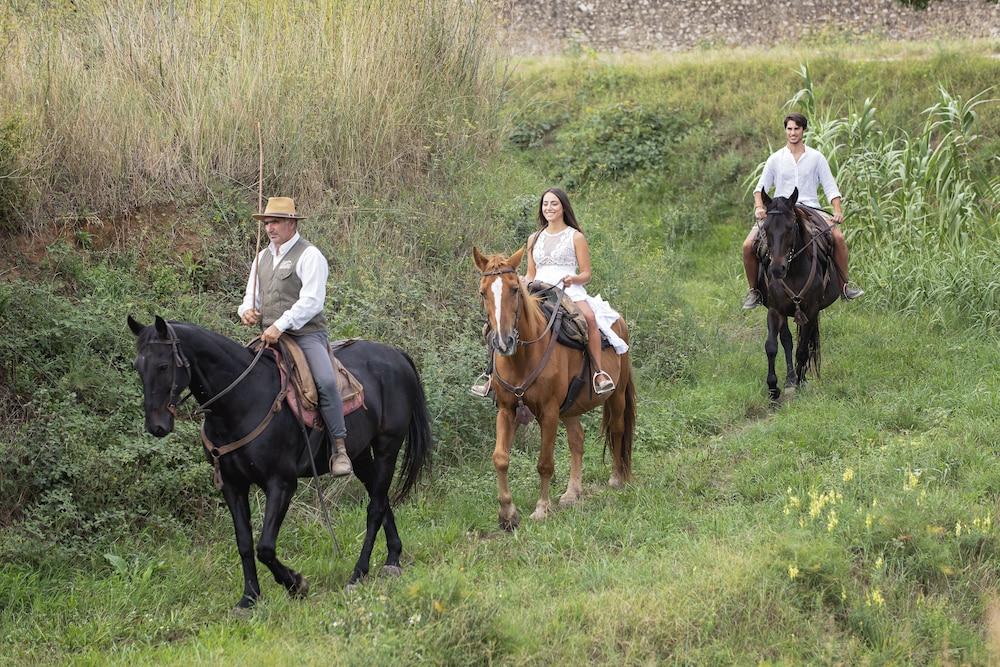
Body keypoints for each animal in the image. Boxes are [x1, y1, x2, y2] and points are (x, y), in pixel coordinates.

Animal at [127, 316, 432, 608]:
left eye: (163, 366)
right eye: (138, 367)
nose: (156, 426)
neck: (242, 400)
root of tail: (395, 354)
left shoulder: (281, 483)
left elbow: (265, 547)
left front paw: (296, 584)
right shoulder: (232, 485)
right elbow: (245, 543)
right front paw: (249, 598)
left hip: (387, 448)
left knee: (375, 508)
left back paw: (358, 573)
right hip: (360, 456)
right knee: (381, 499)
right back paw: (392, 559)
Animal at [472, 247, 636, 532]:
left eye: (514, 289)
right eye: (483, 292)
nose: (504, 342)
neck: (523, 357)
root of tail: (620, 320)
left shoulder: (548, 412)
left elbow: (545, 463)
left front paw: (541, 509)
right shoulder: (507, 409)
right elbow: (500, 458)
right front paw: (507, 514)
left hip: (616, 394)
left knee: (616, 429)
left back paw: (616, 478)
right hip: (570, 407)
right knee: (577, 440)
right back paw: (572, 493)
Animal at [756, 187, 844, 402]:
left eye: (790, 227)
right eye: (766, 228)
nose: (776, 269)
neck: (793, 271)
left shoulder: (811, 310)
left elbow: (803, 349)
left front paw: (801, 382)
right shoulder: (775, 310)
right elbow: (772, 346)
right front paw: (773, 388)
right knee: (787, 340)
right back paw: (789, 379)